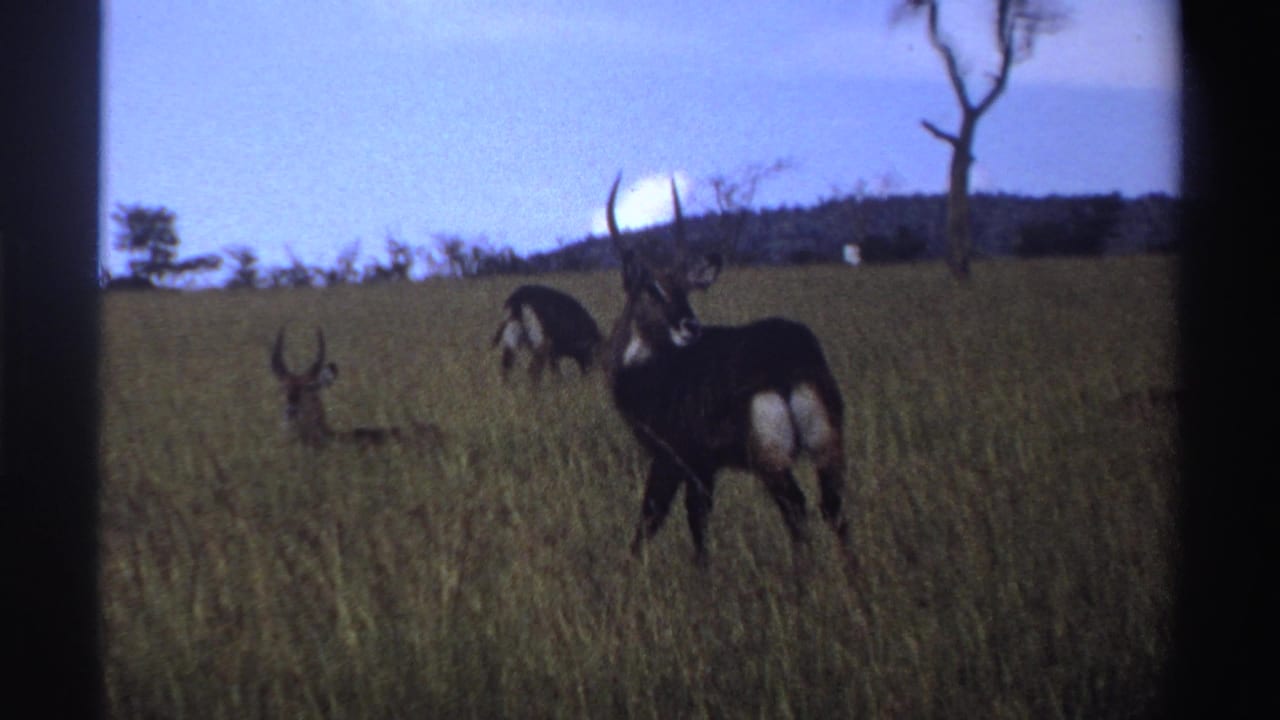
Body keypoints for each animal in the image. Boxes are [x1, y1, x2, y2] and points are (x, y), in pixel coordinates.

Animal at [604, 174, 851, 566]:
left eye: (684, 288)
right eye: (651, 289)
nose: (690, 326)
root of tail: (789, 358)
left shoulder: (679, 460)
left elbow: (661, 520)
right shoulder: (701, 466)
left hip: (770, 460)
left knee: (796, 509)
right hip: (827, 446)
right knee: (833, 508)